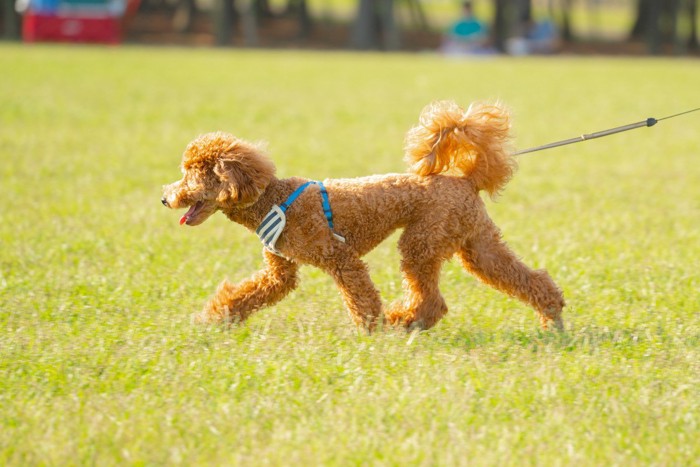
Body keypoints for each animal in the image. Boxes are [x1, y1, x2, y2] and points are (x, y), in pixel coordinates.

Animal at [163, 100, 564, 330]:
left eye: (191, 173)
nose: (166, 198)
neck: (268, 197)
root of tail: (465, 179)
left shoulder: (340, 258)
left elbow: (361, 297)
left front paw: (371, 330)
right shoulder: (280, 272)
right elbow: (246, 294)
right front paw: (212, 320)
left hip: (422, 242)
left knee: (432, 300)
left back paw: (403, 321)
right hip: (475, 244)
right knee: (525, 278)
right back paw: (552, 314)